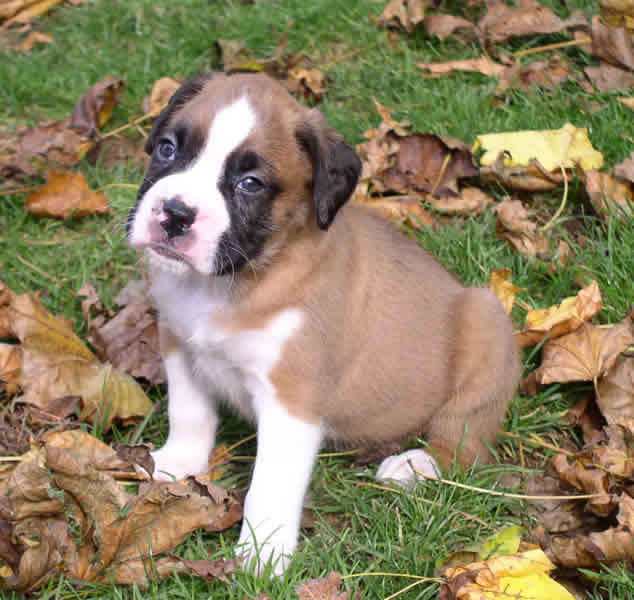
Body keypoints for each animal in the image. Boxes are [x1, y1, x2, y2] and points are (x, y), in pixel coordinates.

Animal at [127, 72, 520, 576]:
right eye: (168, 148)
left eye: (250, 183)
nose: (175, 213)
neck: (230, 282)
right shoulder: (180, 345)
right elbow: (189, 413)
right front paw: (178, 463)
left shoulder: (291, 402)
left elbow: (270, 485)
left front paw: (262, 555)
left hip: (486, 325)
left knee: (466, 447)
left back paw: (416, 466)